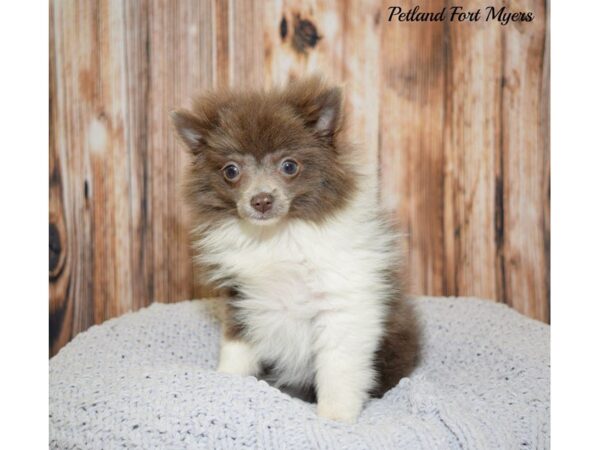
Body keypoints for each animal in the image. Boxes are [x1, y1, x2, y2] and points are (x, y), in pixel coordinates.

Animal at [171, 75, 420, 424]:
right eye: (231, 171)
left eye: (289, 166)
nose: (261, 200)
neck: (277, 236)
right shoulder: (241, 298)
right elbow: (236, 347)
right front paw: (227, 383)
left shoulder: (343, 303)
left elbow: (337, 366)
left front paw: (335, 417)